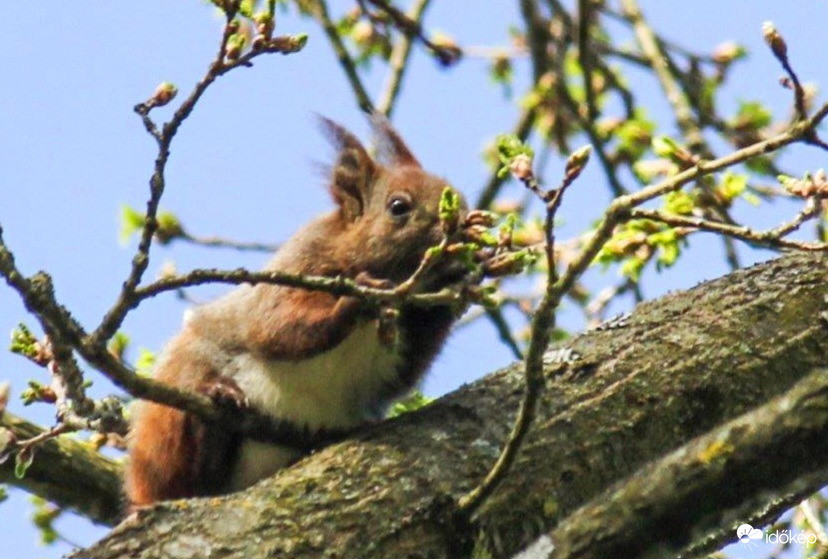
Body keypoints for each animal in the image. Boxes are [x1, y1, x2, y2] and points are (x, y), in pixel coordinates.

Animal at [126, 117, 468, 508]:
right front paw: (355, 301)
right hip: (170, 414)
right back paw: (218, 401)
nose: (459, 225)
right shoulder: (300, 264)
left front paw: (459, 279)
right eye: (398, 206)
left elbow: (406, 372)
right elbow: (274, 327)